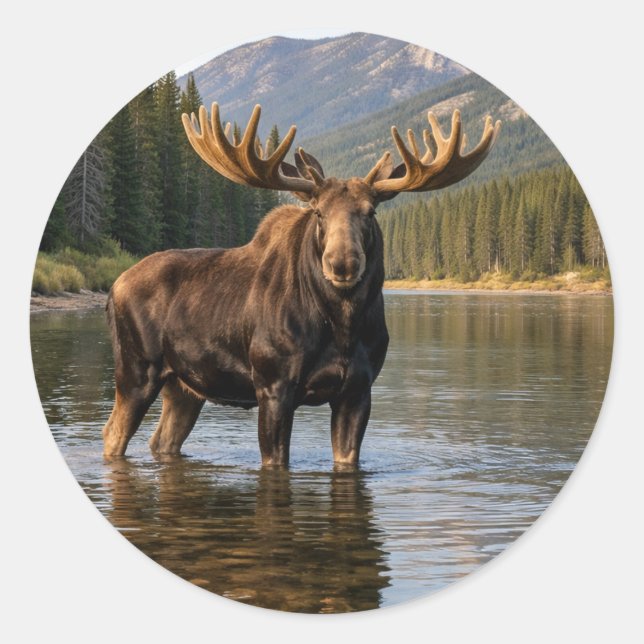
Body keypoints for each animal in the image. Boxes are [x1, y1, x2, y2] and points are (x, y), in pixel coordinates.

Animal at [102, 102, 500, 466]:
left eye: (370, 212)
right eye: (318, 212)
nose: (343, 263)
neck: (342, 324)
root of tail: (113, 286)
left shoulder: (358, 389)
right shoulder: (274, 385)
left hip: (185, 386)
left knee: (161, 440)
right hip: (137, 372)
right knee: (112, 434)